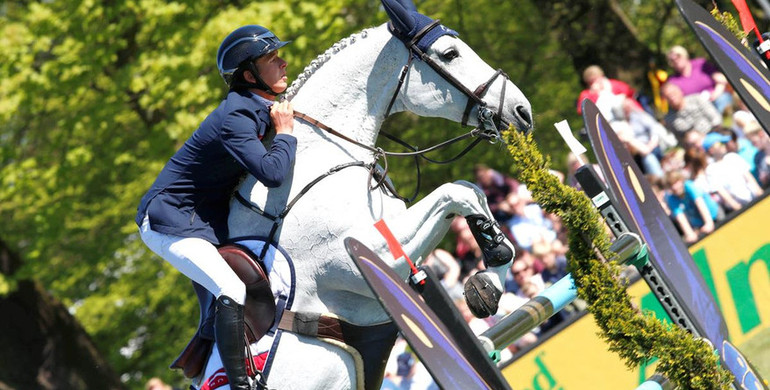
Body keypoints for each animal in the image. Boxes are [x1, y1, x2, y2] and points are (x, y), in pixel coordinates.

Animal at [194, 1, 528, 388]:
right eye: (449, 53)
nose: (523, 112)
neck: (317, 157)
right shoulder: (368, 257)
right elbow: (455, 192)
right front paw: (488, 275)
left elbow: (469, 191)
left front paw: (488, 278)